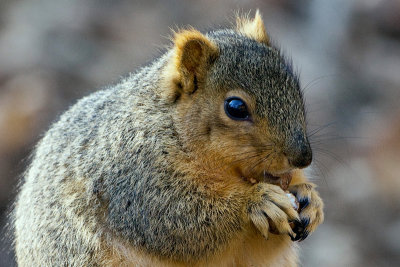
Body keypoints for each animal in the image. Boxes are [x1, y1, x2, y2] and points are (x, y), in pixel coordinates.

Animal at [13, 11, 324, 267]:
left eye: (295, 88)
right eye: (235, 107)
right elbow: (172, 219)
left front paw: (310, 198)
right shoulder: (132, 178)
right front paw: (258, 200)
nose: (303, 157)